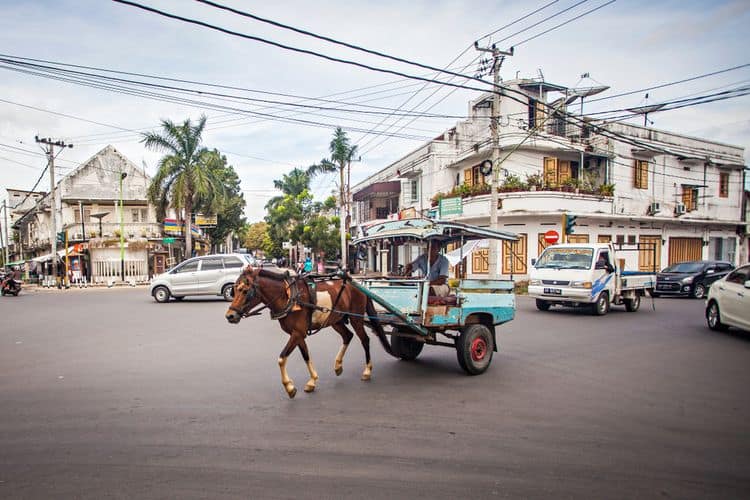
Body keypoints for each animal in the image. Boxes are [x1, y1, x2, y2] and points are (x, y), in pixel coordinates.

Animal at [226, 266, 396, 398]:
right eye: (234, 289)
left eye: (245, 290)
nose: (230, 316)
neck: (290, 297)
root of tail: (356, 284)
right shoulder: (297, 334)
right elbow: (305, 355)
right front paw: (312, 381)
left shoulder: (297, 333)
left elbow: (281, 358)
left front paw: (289, 388)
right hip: (335, 320)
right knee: (348, 336)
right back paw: (338, 366)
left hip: (356, 318)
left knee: (365, 340)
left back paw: (367, 371)